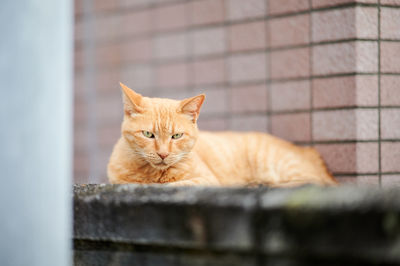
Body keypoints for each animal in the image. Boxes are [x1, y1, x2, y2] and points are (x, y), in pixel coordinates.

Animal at [107, 83, 338, 187]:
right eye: (148, 134)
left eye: (176, 136)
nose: (163, 154)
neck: (151, 175)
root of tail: (310, 151)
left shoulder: (206, 180)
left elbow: (172, 186)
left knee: (311, 182)